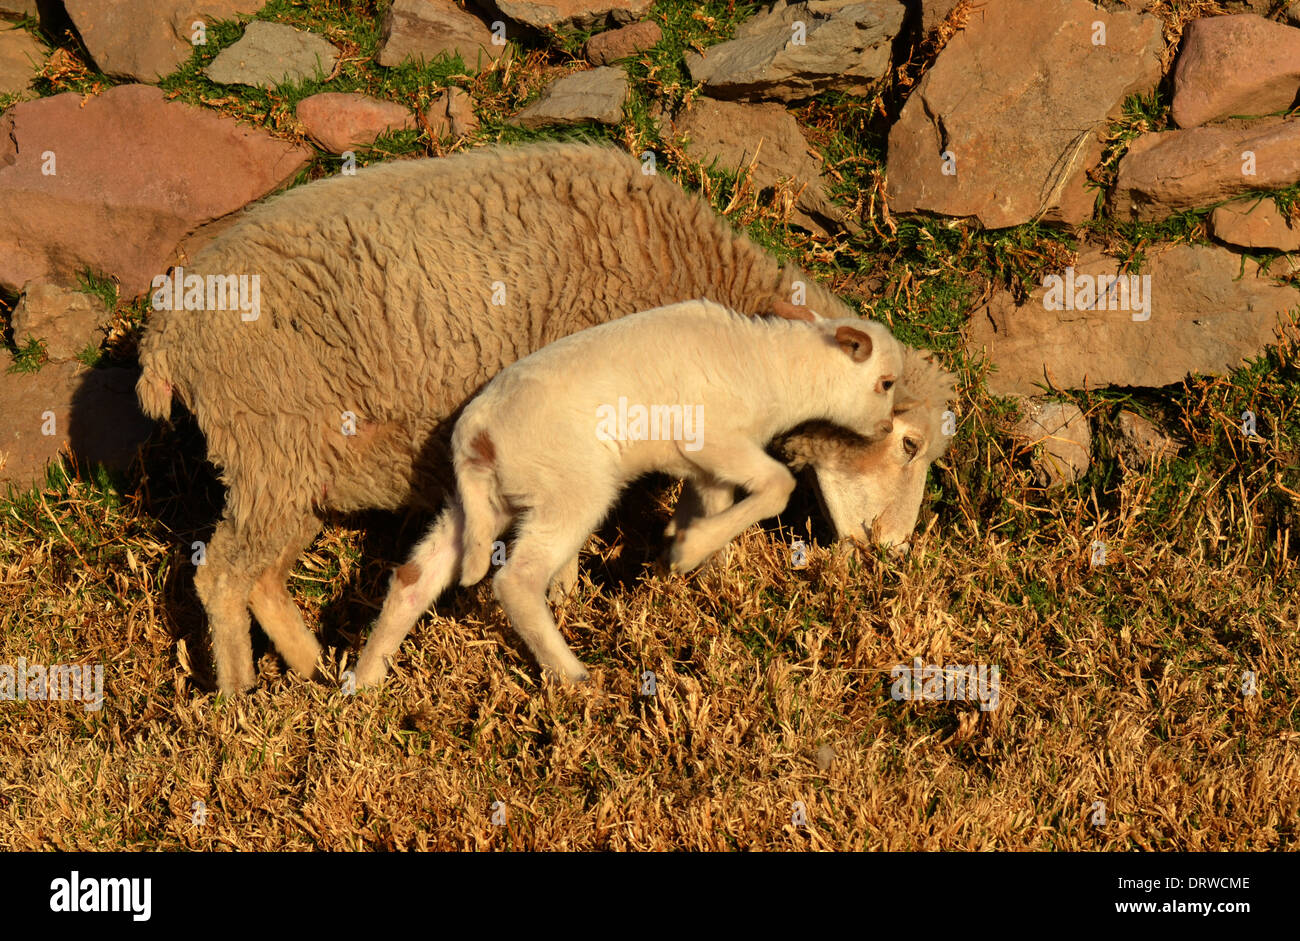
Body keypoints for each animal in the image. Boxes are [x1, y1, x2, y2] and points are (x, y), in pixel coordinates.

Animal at [356, 298, 904, 686]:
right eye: (885, 383)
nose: (882, 429)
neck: (778, 368)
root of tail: (478, 436)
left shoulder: (709, 469)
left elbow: (718, 508)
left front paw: (711, 575)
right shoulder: (714, 439)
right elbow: (778, 488)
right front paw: (687, 552)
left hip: (484, 503)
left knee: (413, 577)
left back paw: (364, 683)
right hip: (570, 487)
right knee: (516, 581)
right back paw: (573, 675)